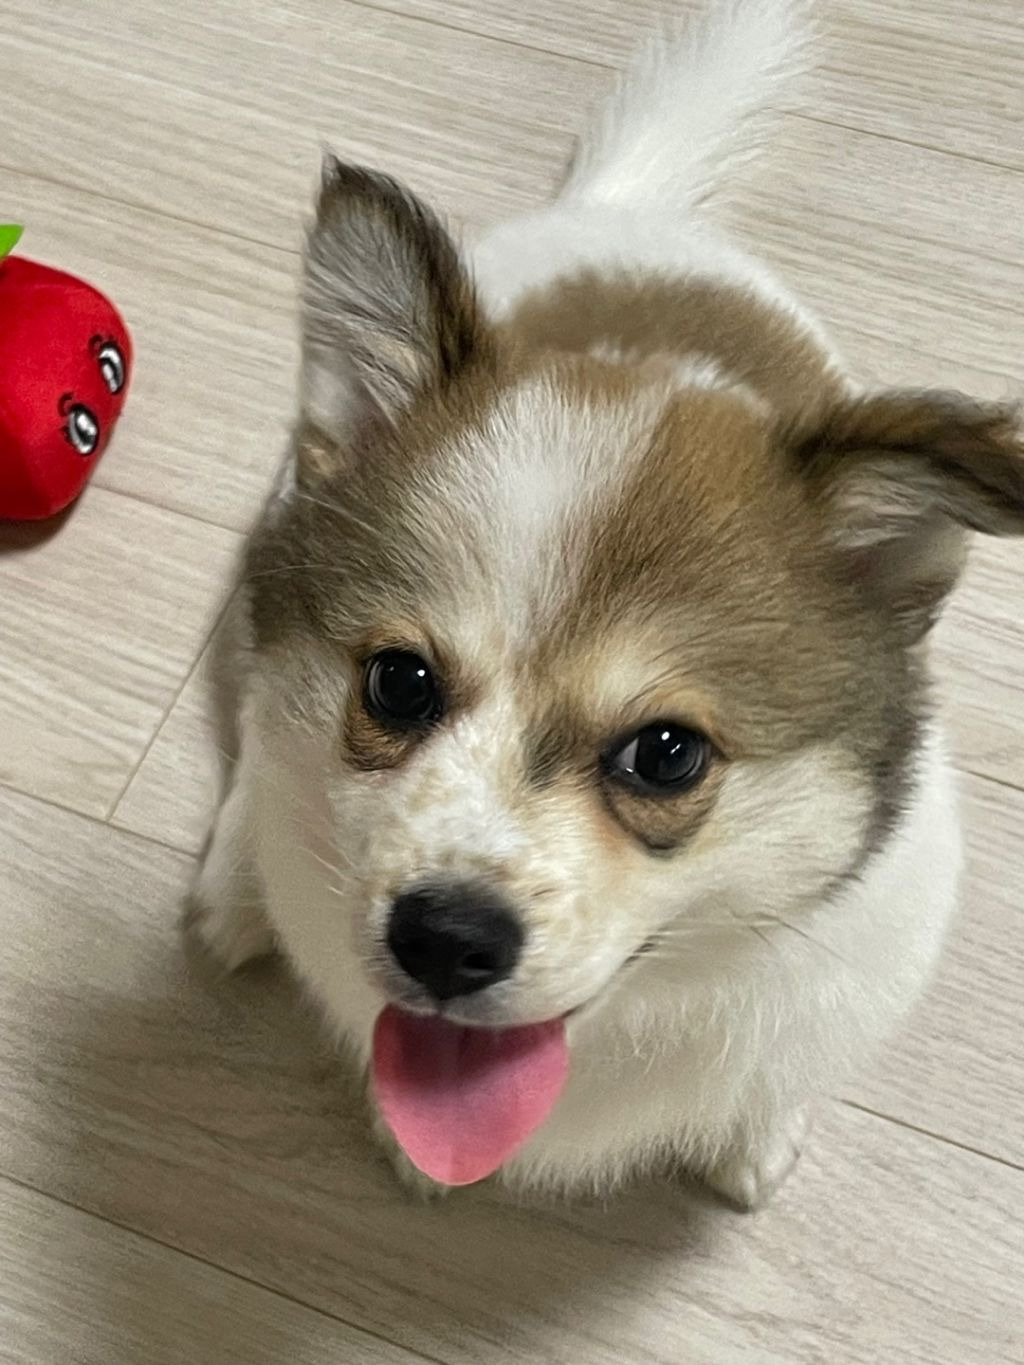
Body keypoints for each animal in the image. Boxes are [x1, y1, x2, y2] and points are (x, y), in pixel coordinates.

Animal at [191, 0, 1024, 1207]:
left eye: (668, 754)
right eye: (397, 683)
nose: (441, 936)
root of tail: (621, 211)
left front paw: (753, 1131)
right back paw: (234, 881)